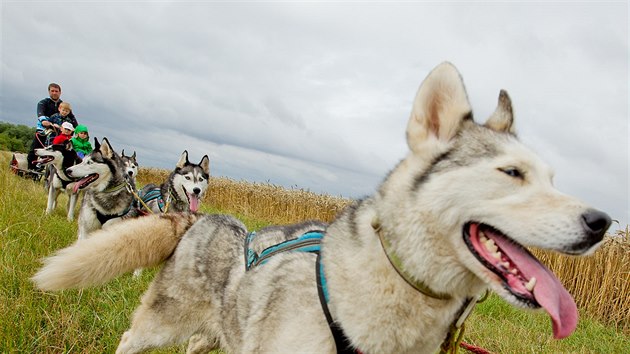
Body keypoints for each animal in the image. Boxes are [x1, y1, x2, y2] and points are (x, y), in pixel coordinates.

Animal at [30, 63, 612, 354]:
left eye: (552, 178)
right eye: (511, 173)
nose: (603, 223)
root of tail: (201, 218)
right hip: (160, 323)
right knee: (133, 337)